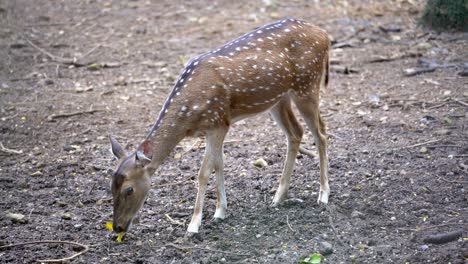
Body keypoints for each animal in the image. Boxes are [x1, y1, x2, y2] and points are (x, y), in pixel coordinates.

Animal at [108, 18, 330, 233]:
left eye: (129, 189)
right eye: (110, 186)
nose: (117, 227)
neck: (188, 117)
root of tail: (324, 35)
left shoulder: (219, 122)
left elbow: (204, 172)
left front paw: (194, 224)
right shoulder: (215, 126)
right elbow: (219, 164)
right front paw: (220, 211)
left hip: (308, 86)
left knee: (321, 133)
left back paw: (323, 194)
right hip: (279, 99)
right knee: (296, 132)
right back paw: (278, 196)